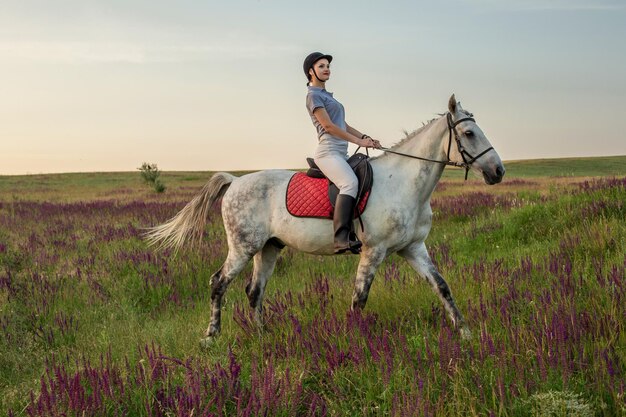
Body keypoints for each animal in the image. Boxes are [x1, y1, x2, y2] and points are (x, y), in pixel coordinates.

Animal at [145, 96, 502, 342]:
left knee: (254, 290)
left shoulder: (413, 248)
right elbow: (360, 298)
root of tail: (234, 181)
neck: (404, 183)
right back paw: (211, 335)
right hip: (243, 248)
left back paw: (262, 334)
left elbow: (442, 286)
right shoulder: (374, 251)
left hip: (269, 248)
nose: (498, 171)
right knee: (218, 283)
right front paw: (354, 338)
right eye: (469, 133)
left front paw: (466, 332)